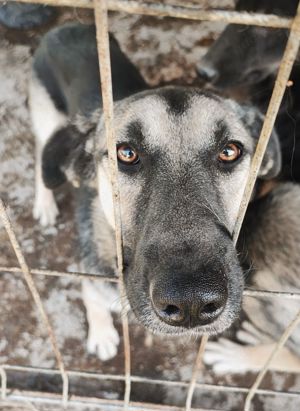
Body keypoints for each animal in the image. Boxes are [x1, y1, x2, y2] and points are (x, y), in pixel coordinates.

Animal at [28, 22, 300, 368]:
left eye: (229, 151)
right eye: (126, 153)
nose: (192, 301)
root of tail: (66, 27)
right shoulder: (91, 276)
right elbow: (93, 301)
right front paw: (101, 334)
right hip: (47, 120)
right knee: (40, 156)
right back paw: (44, 203)